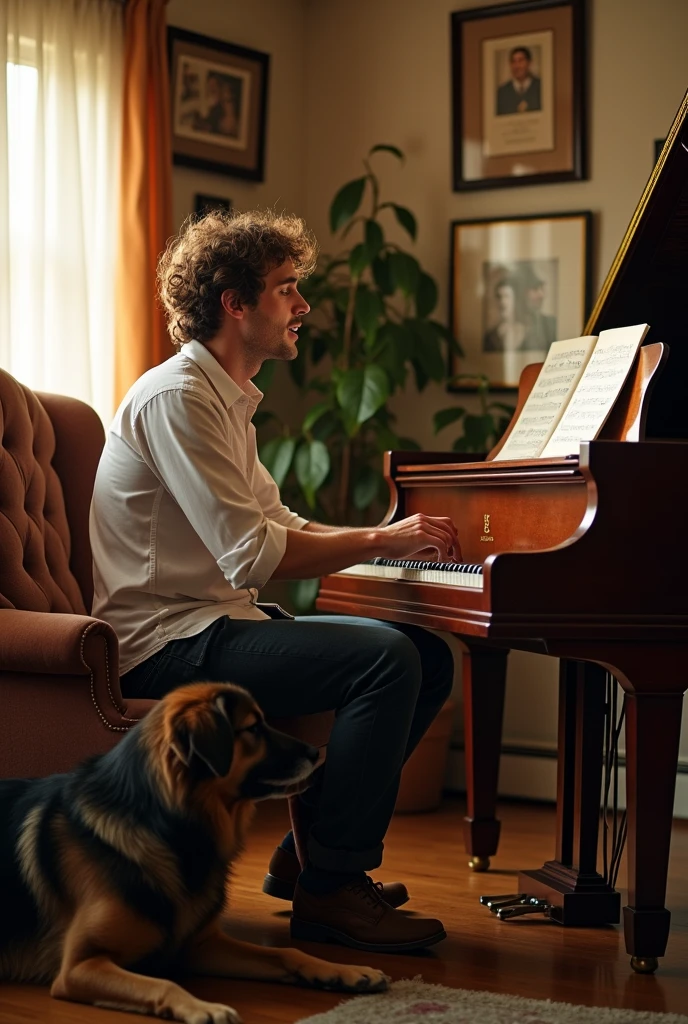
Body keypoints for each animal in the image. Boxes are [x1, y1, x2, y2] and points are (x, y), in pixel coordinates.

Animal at [0, 684, 389, 1019]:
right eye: (253, 728)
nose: (314, 752)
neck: (168, 826)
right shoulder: (80, 966)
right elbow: (164, 983)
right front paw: (205, 1008)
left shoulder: (200, 947)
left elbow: (286, 951)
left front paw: (341, 970)